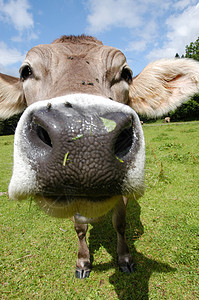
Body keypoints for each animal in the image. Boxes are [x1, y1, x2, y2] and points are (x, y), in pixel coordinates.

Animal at [0, 35, 199, 278]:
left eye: (126, 73)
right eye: (25, 71)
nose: (85, 137)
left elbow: (120, 223)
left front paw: (125, 259)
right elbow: (79, 228)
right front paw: (83, 262)